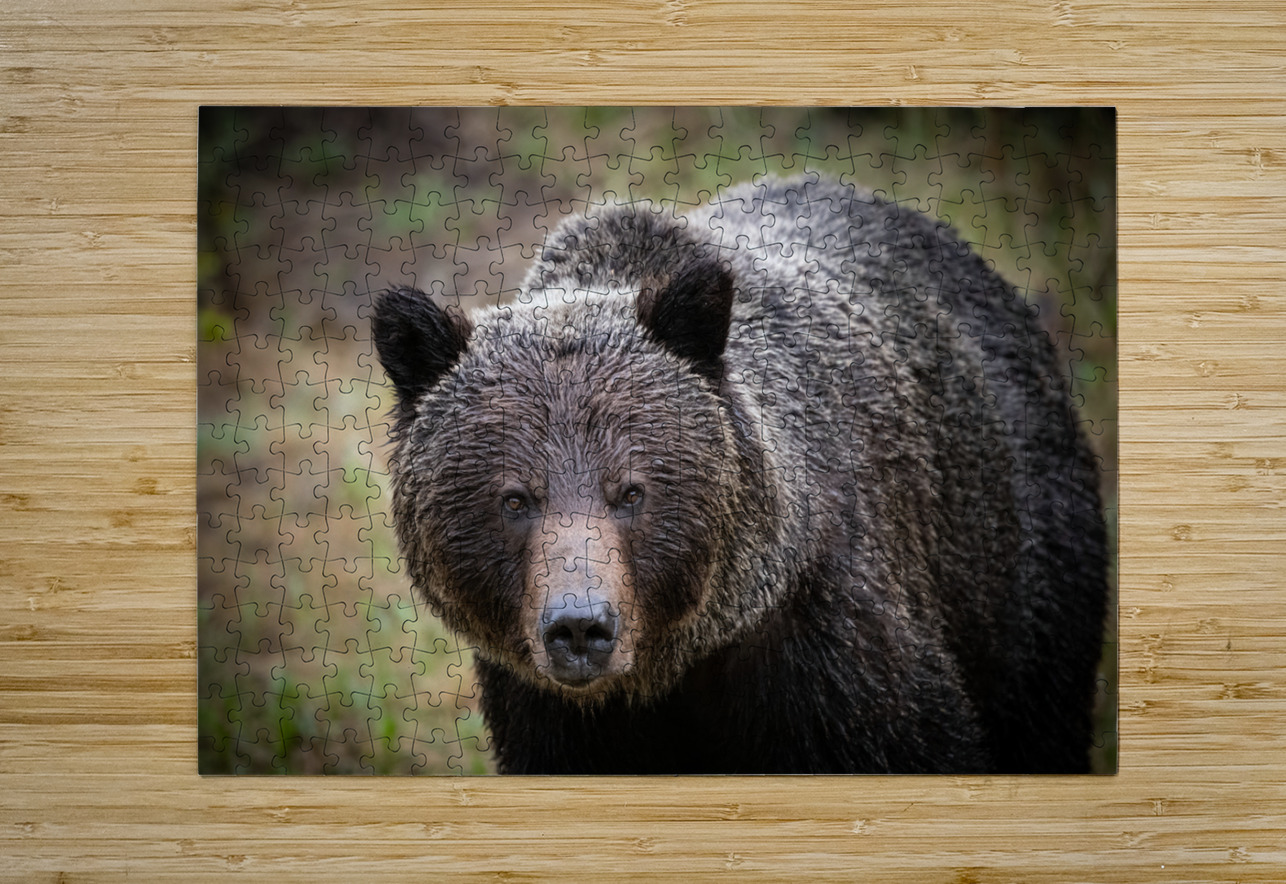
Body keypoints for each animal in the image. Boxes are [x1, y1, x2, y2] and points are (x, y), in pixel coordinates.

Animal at [371, 176, 1109, 774]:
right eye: (516, 498)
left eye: (631, 491)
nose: (580, 627)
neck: (668, 669)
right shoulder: (546, 709)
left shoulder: (829, 647)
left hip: (1017, 564)